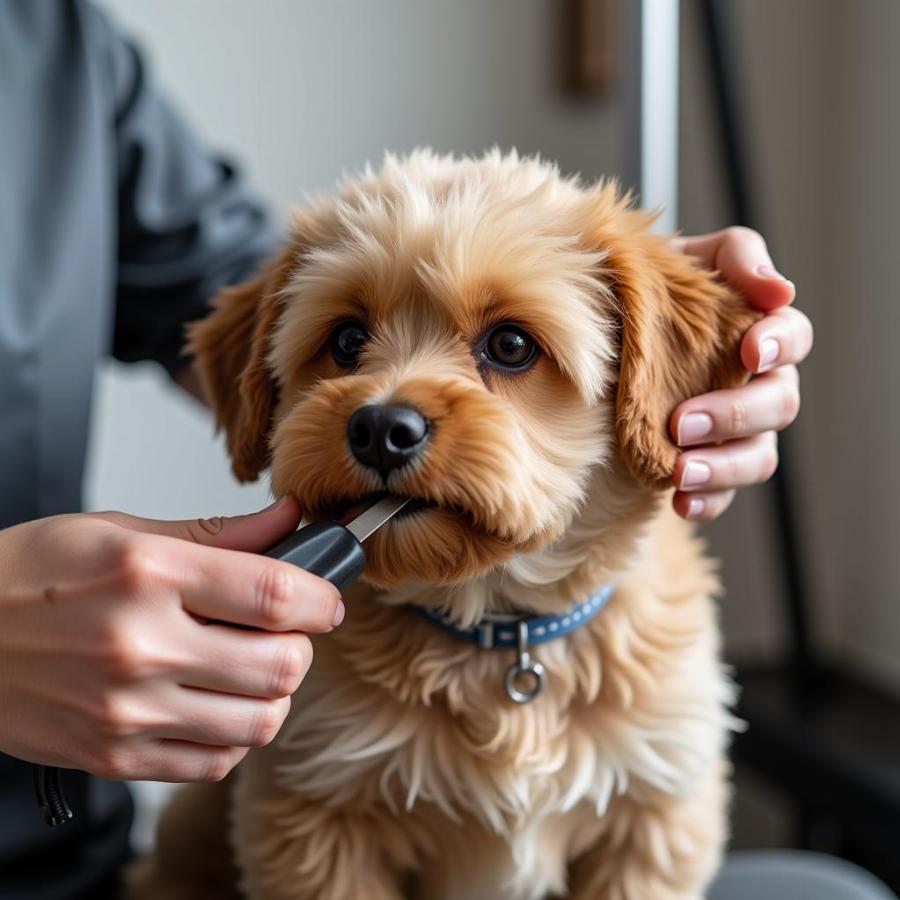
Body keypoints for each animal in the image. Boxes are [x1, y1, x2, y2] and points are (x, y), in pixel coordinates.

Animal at [128, 149, 760, 900]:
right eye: (346, 339)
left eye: (511, 344)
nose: (380, 429)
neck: (494, 629)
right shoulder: (315, 816)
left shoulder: (653, 819)